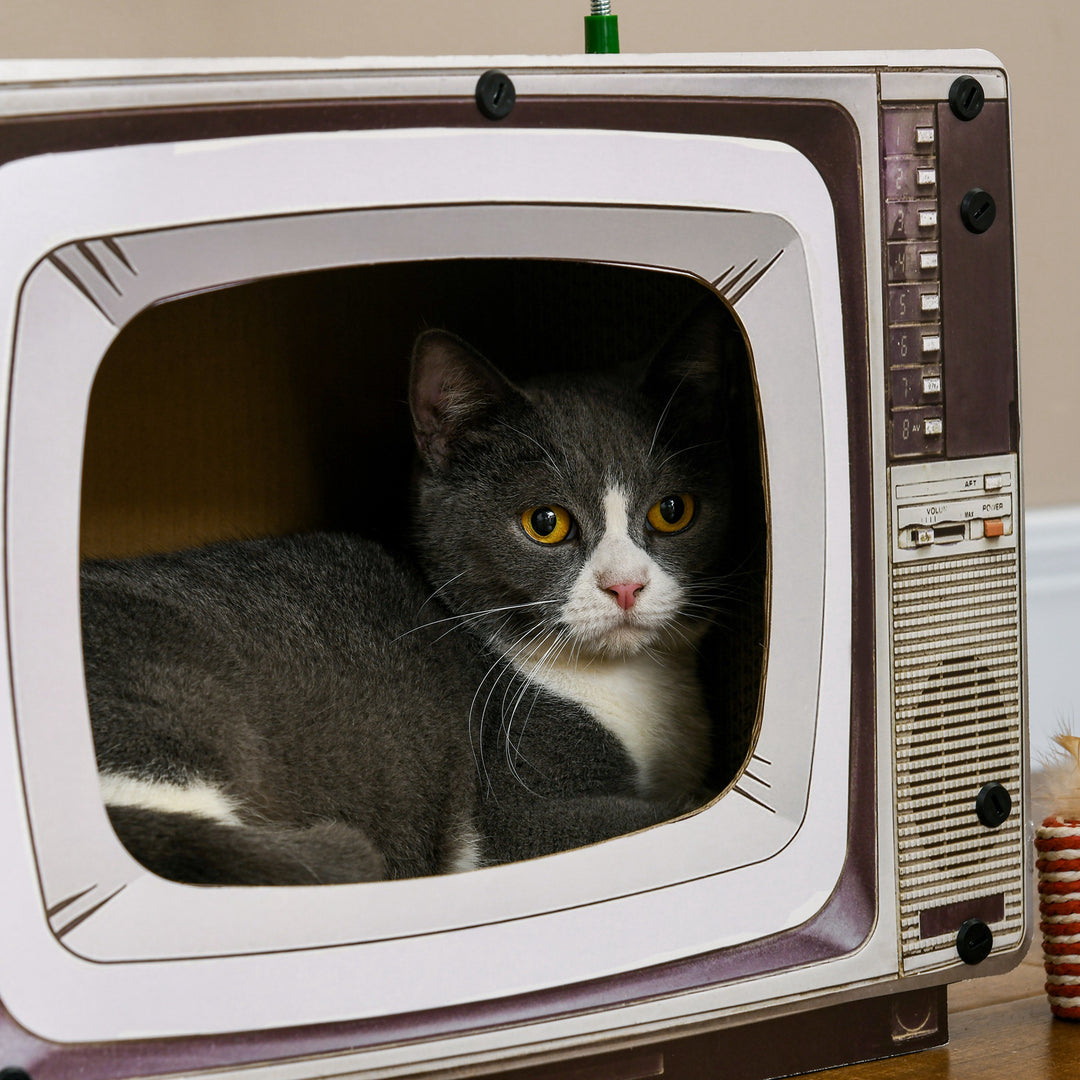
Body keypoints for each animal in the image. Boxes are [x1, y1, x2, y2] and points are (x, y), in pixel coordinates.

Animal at [82, 306, 734, 885]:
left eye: (673, 510)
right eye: (545, 522)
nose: (625, 585)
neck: (634, 683)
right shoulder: (513, 812)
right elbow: (657, 812)